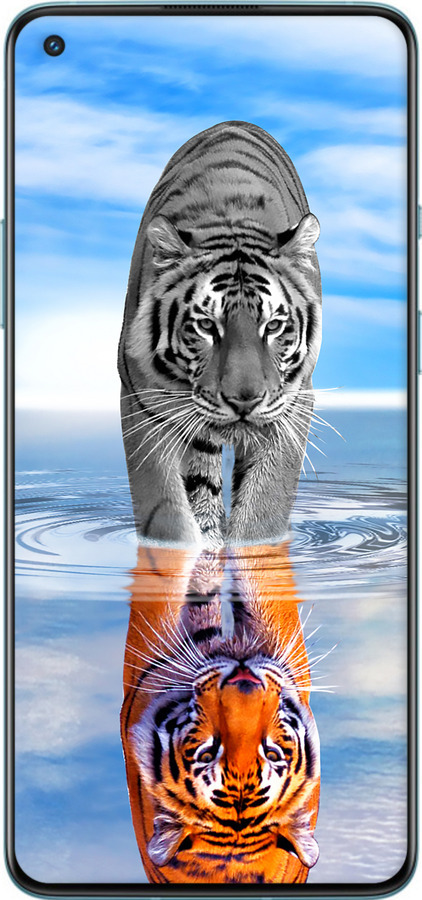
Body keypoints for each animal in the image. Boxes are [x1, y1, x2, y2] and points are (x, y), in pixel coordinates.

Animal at [118, 120, 322, 548]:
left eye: (273, 326)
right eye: (206, 325)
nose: (244, 401)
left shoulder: (293, 404)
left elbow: (264, 509)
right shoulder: (142, 401)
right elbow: (165, 511)